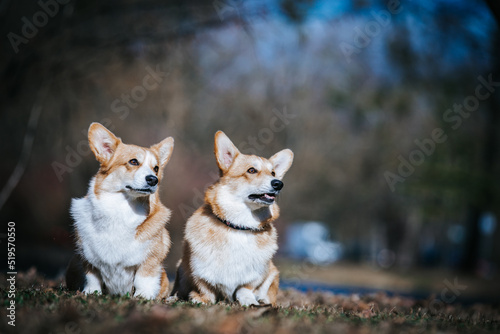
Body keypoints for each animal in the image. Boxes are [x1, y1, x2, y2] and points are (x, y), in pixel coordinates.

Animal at [65, 123, 174, 300]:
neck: (123, 208)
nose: (153, 180)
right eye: (133, 161)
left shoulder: (150, 259)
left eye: (156, 168)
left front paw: (143, 296)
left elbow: (144, 278)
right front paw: (91, 293)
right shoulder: (88, 258)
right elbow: (92, 277)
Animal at [172, 130, 292, 306]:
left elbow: (245, 289)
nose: (278, 184)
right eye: (251, 170)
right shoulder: (200, 274)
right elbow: (206, 289)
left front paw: (250, 302)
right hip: (180, 267)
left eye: (273, 173)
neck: (239, 226)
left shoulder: (254, 278)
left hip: (273, 272)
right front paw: (199, 299)